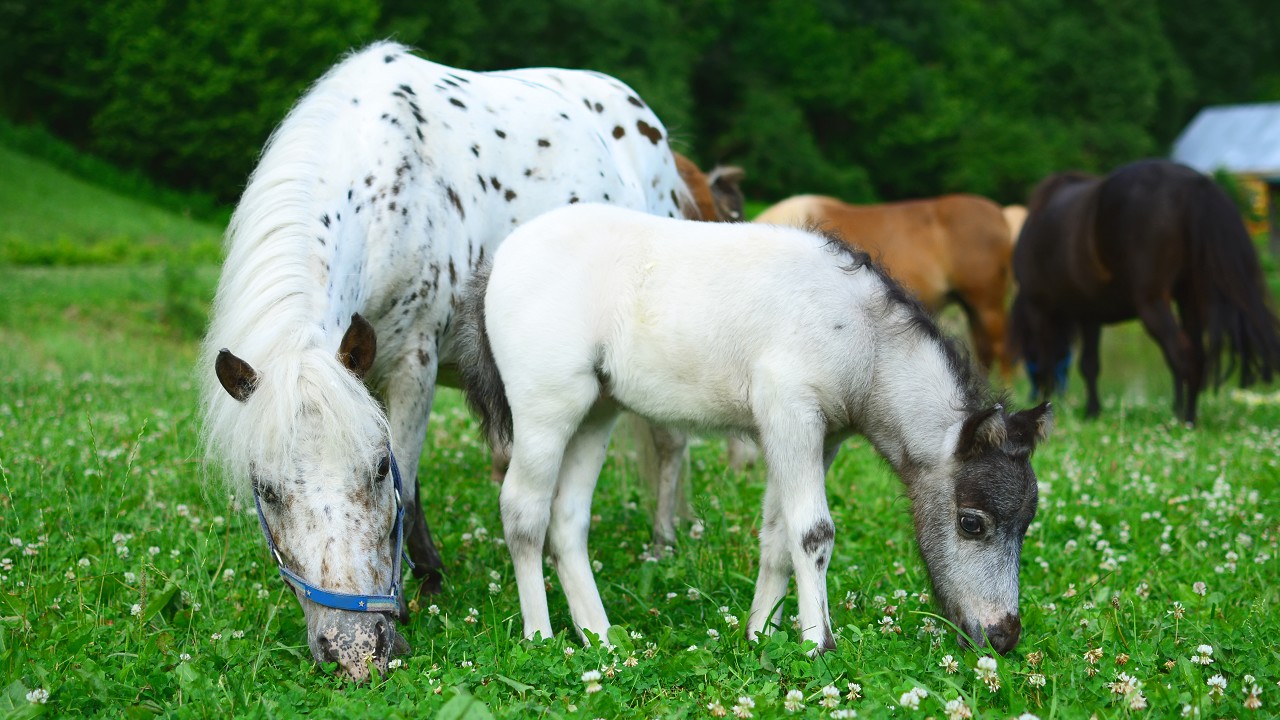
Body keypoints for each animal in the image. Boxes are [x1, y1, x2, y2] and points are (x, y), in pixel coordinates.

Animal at [199, 42, 696, 681]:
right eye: (264, 489)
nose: (356, 651)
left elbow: (408, 479)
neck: (386, 188)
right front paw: (430, 574)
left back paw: (662, 545)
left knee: (669, 445)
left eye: (374, 472)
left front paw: (419, 591)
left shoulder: (414, 362)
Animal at [1008, 159, 1280, 424]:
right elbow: (1090, 364)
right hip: (1189, 298)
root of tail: (1193, 184)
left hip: (1152, 302)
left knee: (1183, 357)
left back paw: (1186, 421)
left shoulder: (1040, 308)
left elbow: (1052, 362)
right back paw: (1185, 414)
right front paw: (1094, 410)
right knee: (1194, 357)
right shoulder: (1090, 314)